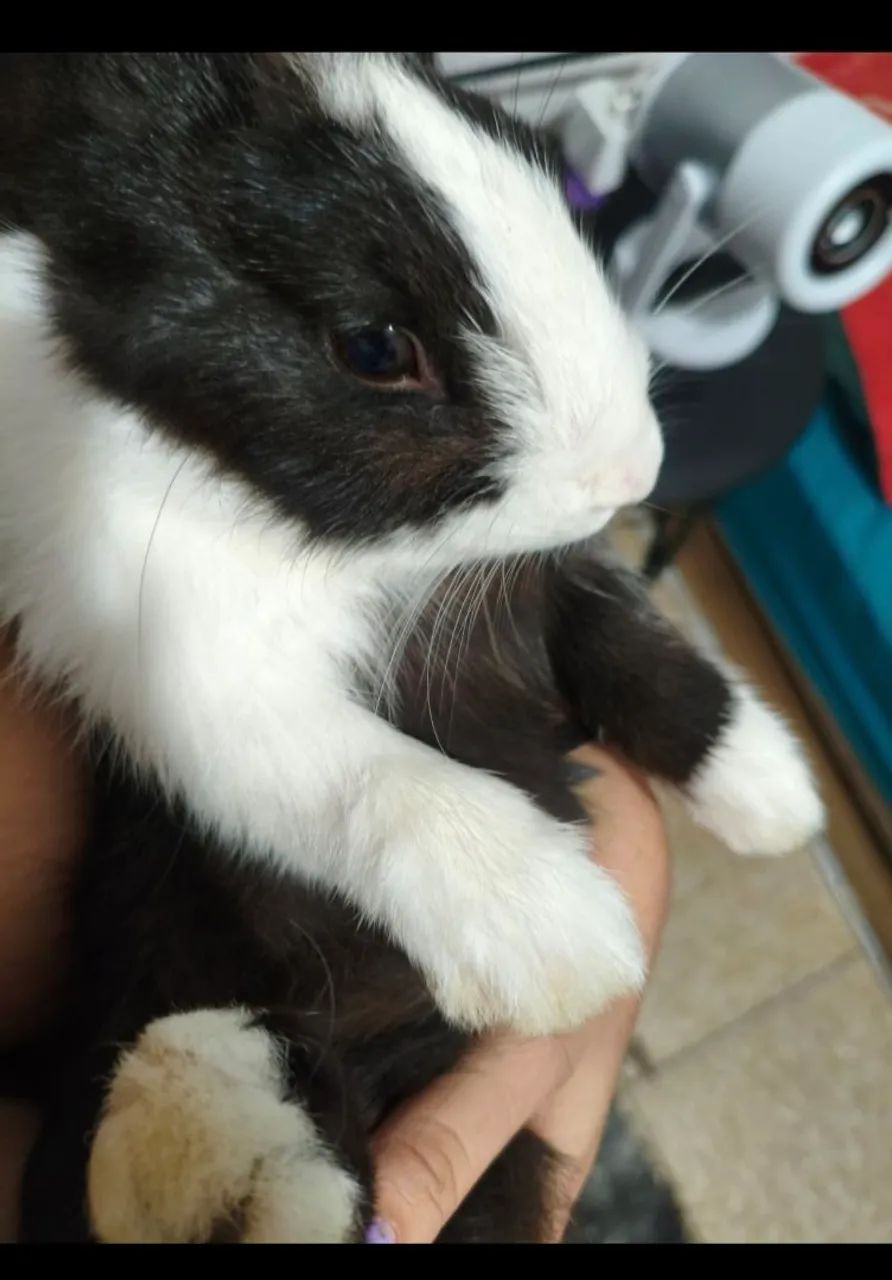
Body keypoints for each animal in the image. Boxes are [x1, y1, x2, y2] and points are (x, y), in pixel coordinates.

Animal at [0, 52, 824, 1242]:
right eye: (374, 347)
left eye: (533, 157)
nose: (632, 471)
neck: (352, 557)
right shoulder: (187, 678)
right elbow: (372, 782)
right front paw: (563, 935)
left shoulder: (531, 593)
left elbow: (638, 652)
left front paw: (772, 794)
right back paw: (213, 1162)